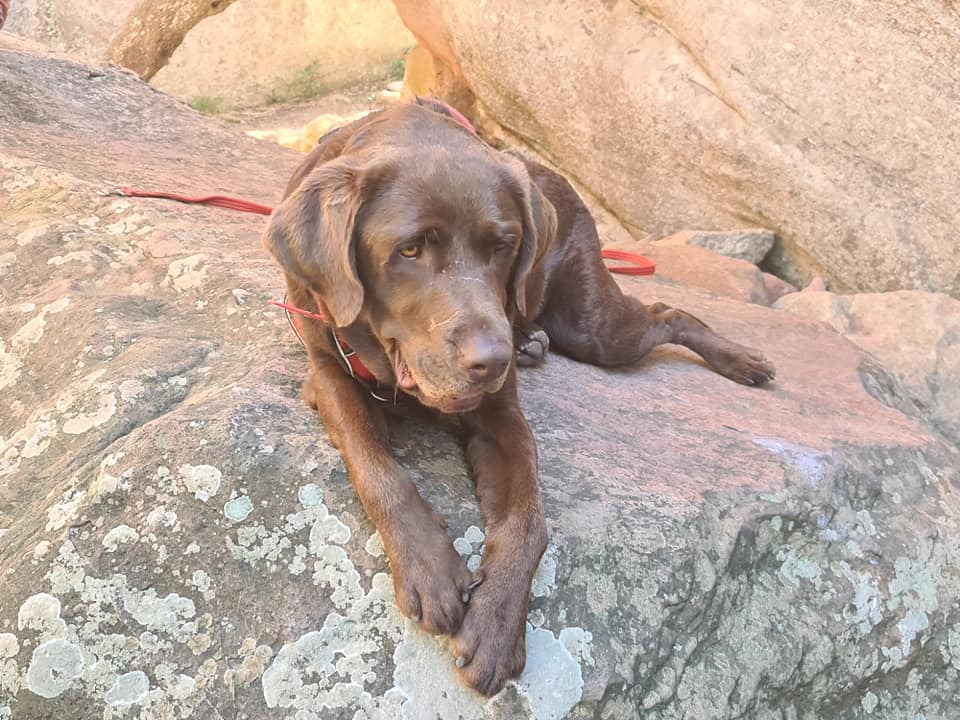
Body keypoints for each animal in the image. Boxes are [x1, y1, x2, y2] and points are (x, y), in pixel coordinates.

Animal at [262, 100, 775, 696]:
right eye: (409, 250)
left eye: (502, 247)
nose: (494, 359)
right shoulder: (329, 375)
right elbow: (376, 469)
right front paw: (429, 568)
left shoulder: (502, 415)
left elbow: (531, 521)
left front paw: (497, 625)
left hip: (593, 326)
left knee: (669, 311)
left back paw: (740, 360)